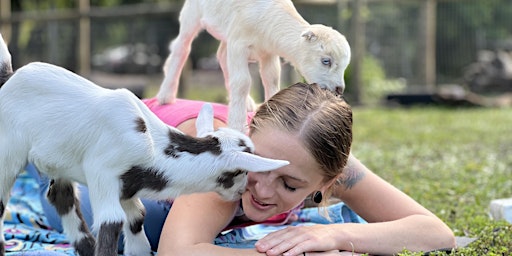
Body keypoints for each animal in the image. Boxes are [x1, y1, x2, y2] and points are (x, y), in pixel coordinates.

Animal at [0, 34, 288, 256]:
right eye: (242, 172)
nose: (241, 194)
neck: (152, 147)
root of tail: (9, 77)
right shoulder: (102, 173)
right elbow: (112, 222)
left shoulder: (127, 189)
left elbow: (137, 220)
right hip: (9, 150)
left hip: (58, 163)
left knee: (61, 197)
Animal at [157, 0, 352, 132]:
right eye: (326, 61)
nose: (339, 89)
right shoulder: (239, 44)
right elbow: (242, 82)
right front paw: (236, 126)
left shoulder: (268, 52)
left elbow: (271, 78)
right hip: (192, 14)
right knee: (181, 48)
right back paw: (166, 95)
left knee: (221, 56)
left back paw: (248, 103)